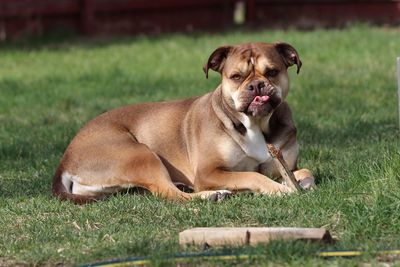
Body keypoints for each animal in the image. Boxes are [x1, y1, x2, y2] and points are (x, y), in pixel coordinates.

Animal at [52, 41, 316, 203]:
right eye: (236, 77)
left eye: (272, 72)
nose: (257, 85)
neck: (256, 125)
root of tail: (65, 160)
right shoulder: (209, 172)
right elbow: (252, 176)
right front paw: (279, 189)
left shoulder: (282, 164)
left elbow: (304, 171)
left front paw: (302, 183)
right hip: (140, 154)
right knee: (168, 193)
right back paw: (211, 195)